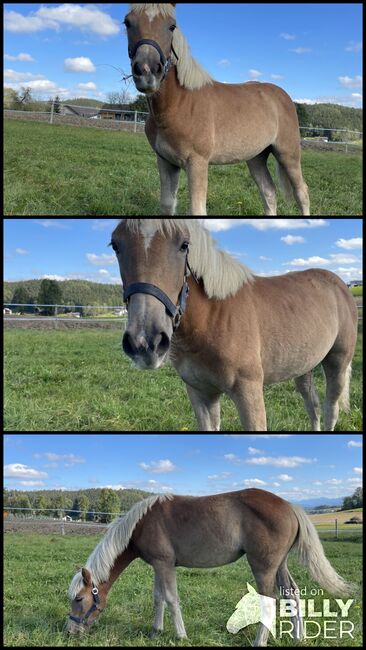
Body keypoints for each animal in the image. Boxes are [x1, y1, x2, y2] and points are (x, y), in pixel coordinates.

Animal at [67, 488, 354, 644]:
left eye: (79, 599)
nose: (70, 630)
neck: (141, 523)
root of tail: (290, 506)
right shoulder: (159, 566)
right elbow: (158, 598)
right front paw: (155, 631)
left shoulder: (165, 565)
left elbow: (171, 598)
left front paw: (181, 636)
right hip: (280, 565)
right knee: (291, 594)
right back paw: (298, 637)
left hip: (263, 567)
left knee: (269, 600)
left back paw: (259, 642)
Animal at [111, 218, 358, 430]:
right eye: (115, 246)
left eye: (184, 245)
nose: (145, 342)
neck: (214, 317)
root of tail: (340, 285)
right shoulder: (201, 393)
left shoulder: (249, 393)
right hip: (304, 366)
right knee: (312, 405)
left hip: (337, 362)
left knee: (330, 408)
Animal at [124, 3, 310, 215]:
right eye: (127, 22)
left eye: (172, 26)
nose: (147, 71)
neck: (177, 104)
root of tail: (283, 96)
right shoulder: (165, 162)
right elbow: (167, 205)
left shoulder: (197, 163)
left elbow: (197, 211)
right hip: (256, 157)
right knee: (269, 193)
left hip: (288, 154)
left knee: (302, 193)